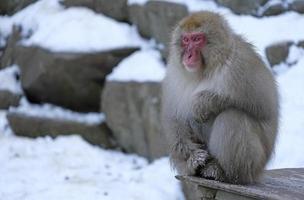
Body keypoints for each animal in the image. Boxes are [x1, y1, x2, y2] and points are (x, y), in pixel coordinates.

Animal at [163, 11, 280, 184]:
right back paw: (194, 167)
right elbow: (175, 117)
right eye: (186, 40)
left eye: (197, 39)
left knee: (232, 116)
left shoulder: (242, 64)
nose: (188, 55)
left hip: (254, 164)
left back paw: (223, 172)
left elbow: (264, 105)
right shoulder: (173, 75)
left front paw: (201, 104)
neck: (204, 70)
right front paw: (193, 158)